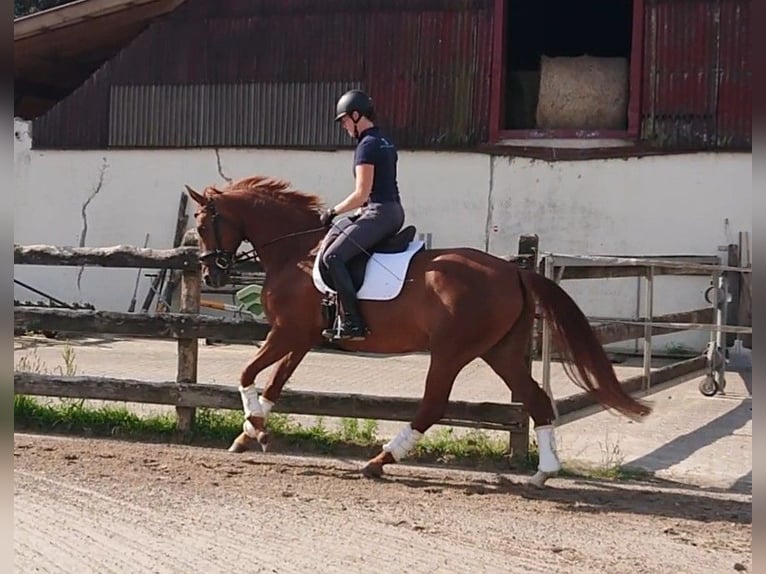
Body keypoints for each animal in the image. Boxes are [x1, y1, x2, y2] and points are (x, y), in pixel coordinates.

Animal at [184, 175, 651, 488]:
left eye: (203, 224)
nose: (210, 272)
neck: (294, 252)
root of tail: (513, 272)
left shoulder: (286, 333)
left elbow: (247, 375)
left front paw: (255, 428)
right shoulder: (302, 338)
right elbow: (274, 385)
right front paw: (251, 434)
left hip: (451, 352)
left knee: (432, 405)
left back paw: (380, 460)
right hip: (500, 351)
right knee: (535, 399)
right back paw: (543, 474)